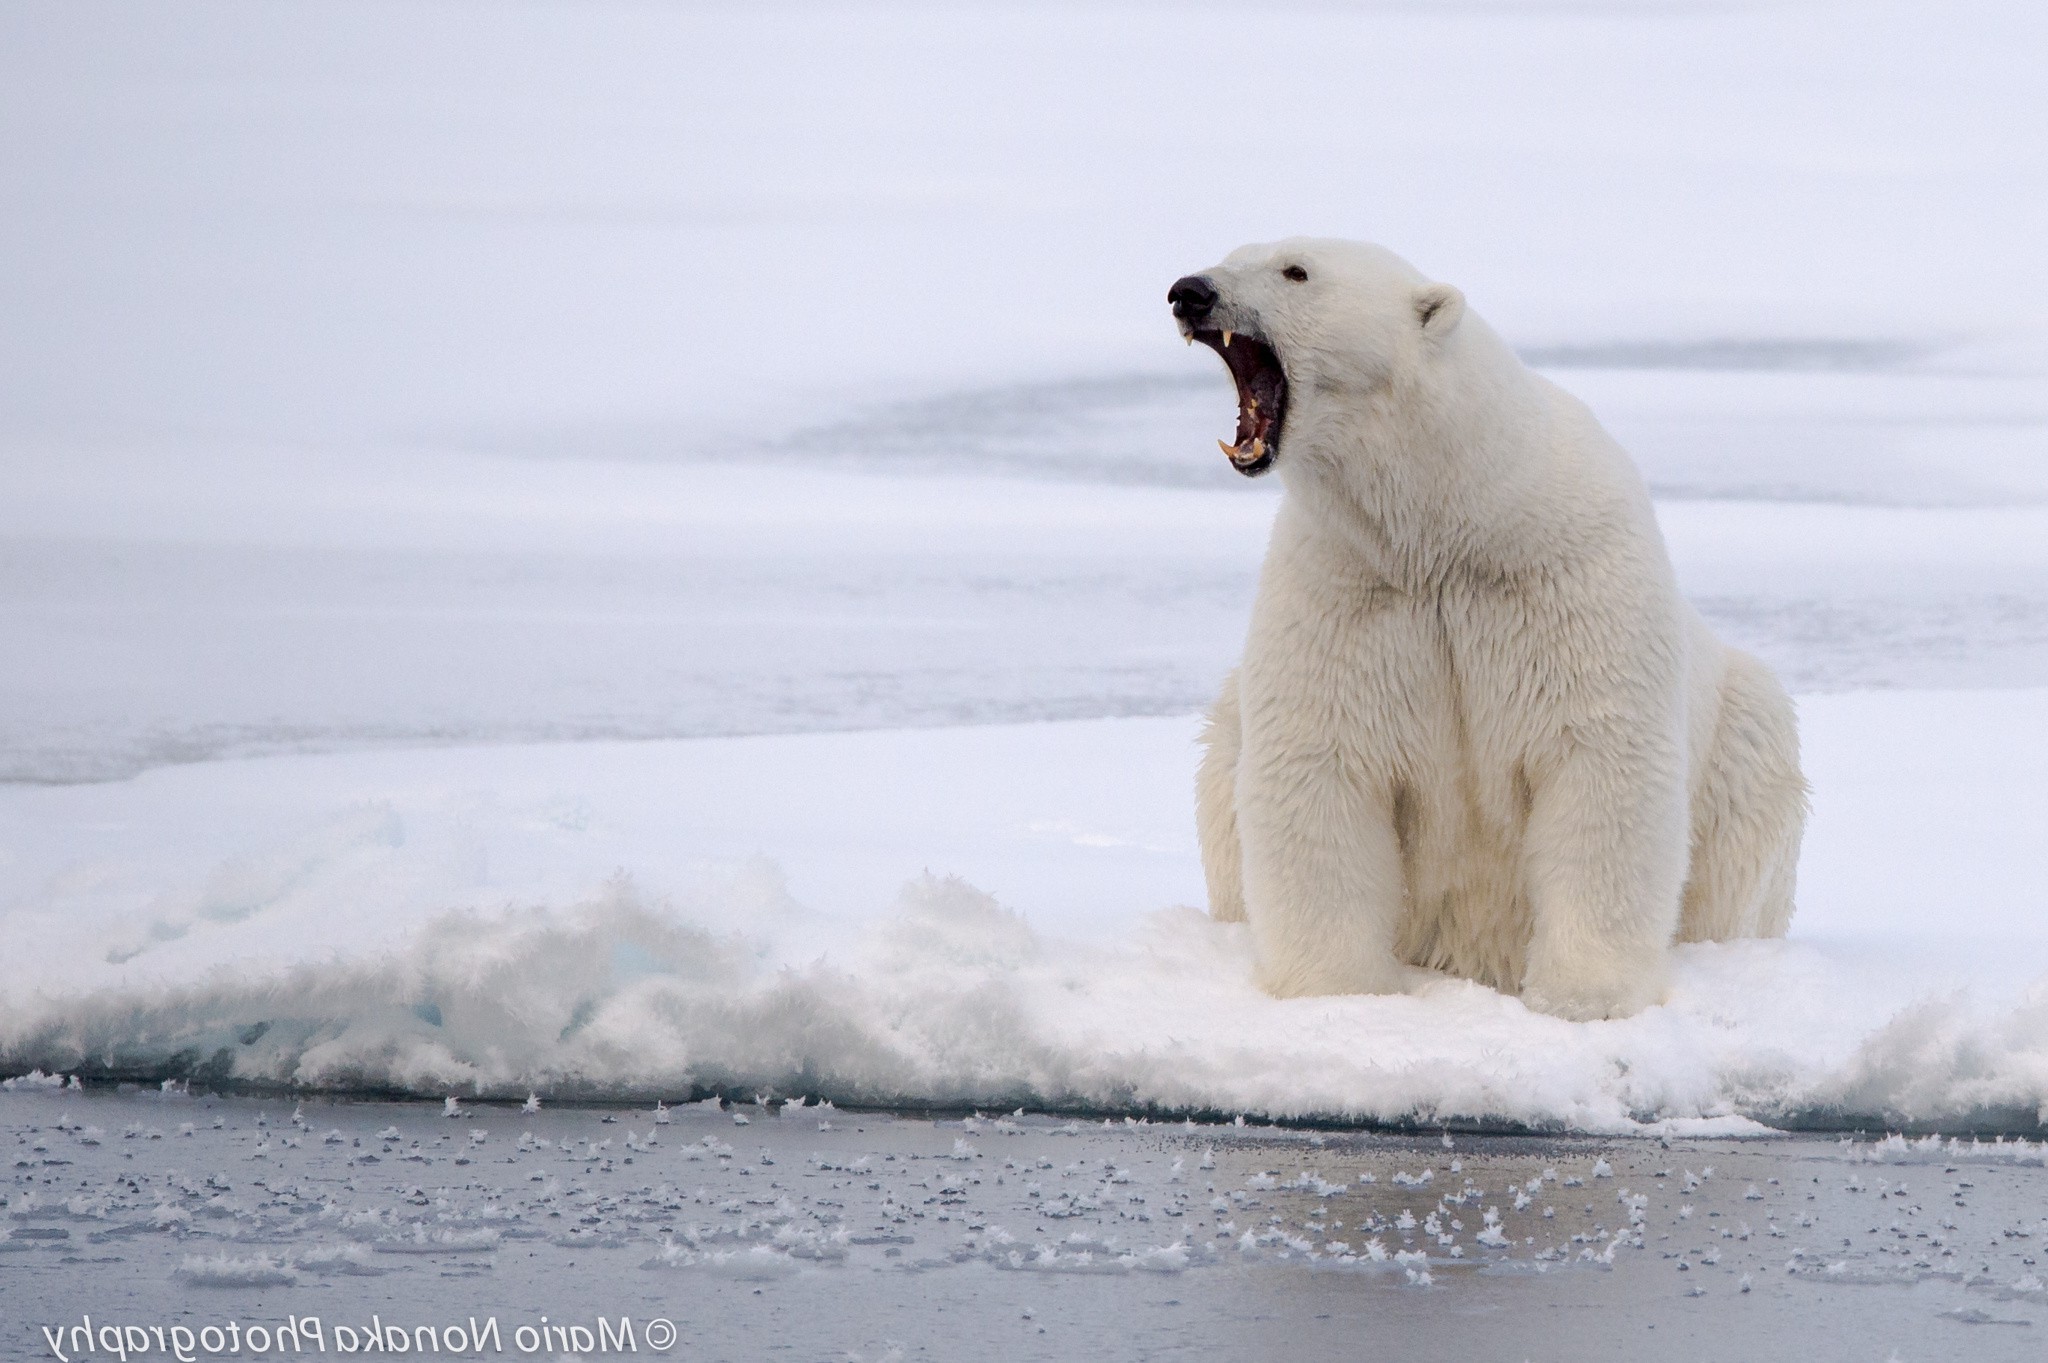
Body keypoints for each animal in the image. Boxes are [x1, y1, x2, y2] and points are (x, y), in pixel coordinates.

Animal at [1171, 238, 1810, 1015]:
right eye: (1233, 253)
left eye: (1296, 270)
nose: (1189, 292)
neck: (1453, 521)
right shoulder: (1347, 588)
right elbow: (1322, 763)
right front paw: (1339, 993)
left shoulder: (1564, 579)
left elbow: (1600, 763)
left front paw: (1584, 996)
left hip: (1742, 740)